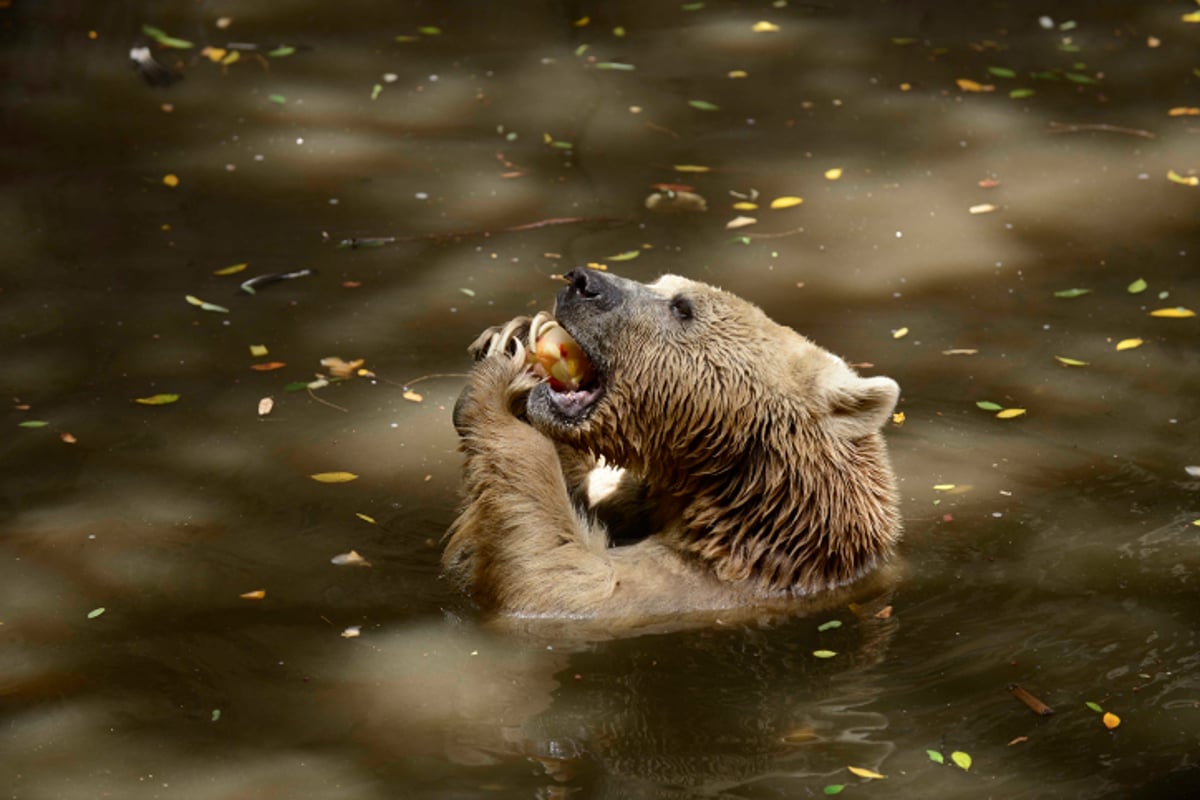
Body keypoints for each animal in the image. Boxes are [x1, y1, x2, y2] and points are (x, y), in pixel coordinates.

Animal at [446, 268, 902, 623]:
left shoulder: (698, 588)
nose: (582, 281)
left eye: (682, 307)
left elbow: (561, 579)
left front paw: (501, 379)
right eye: (659, 281)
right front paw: (514, 333)